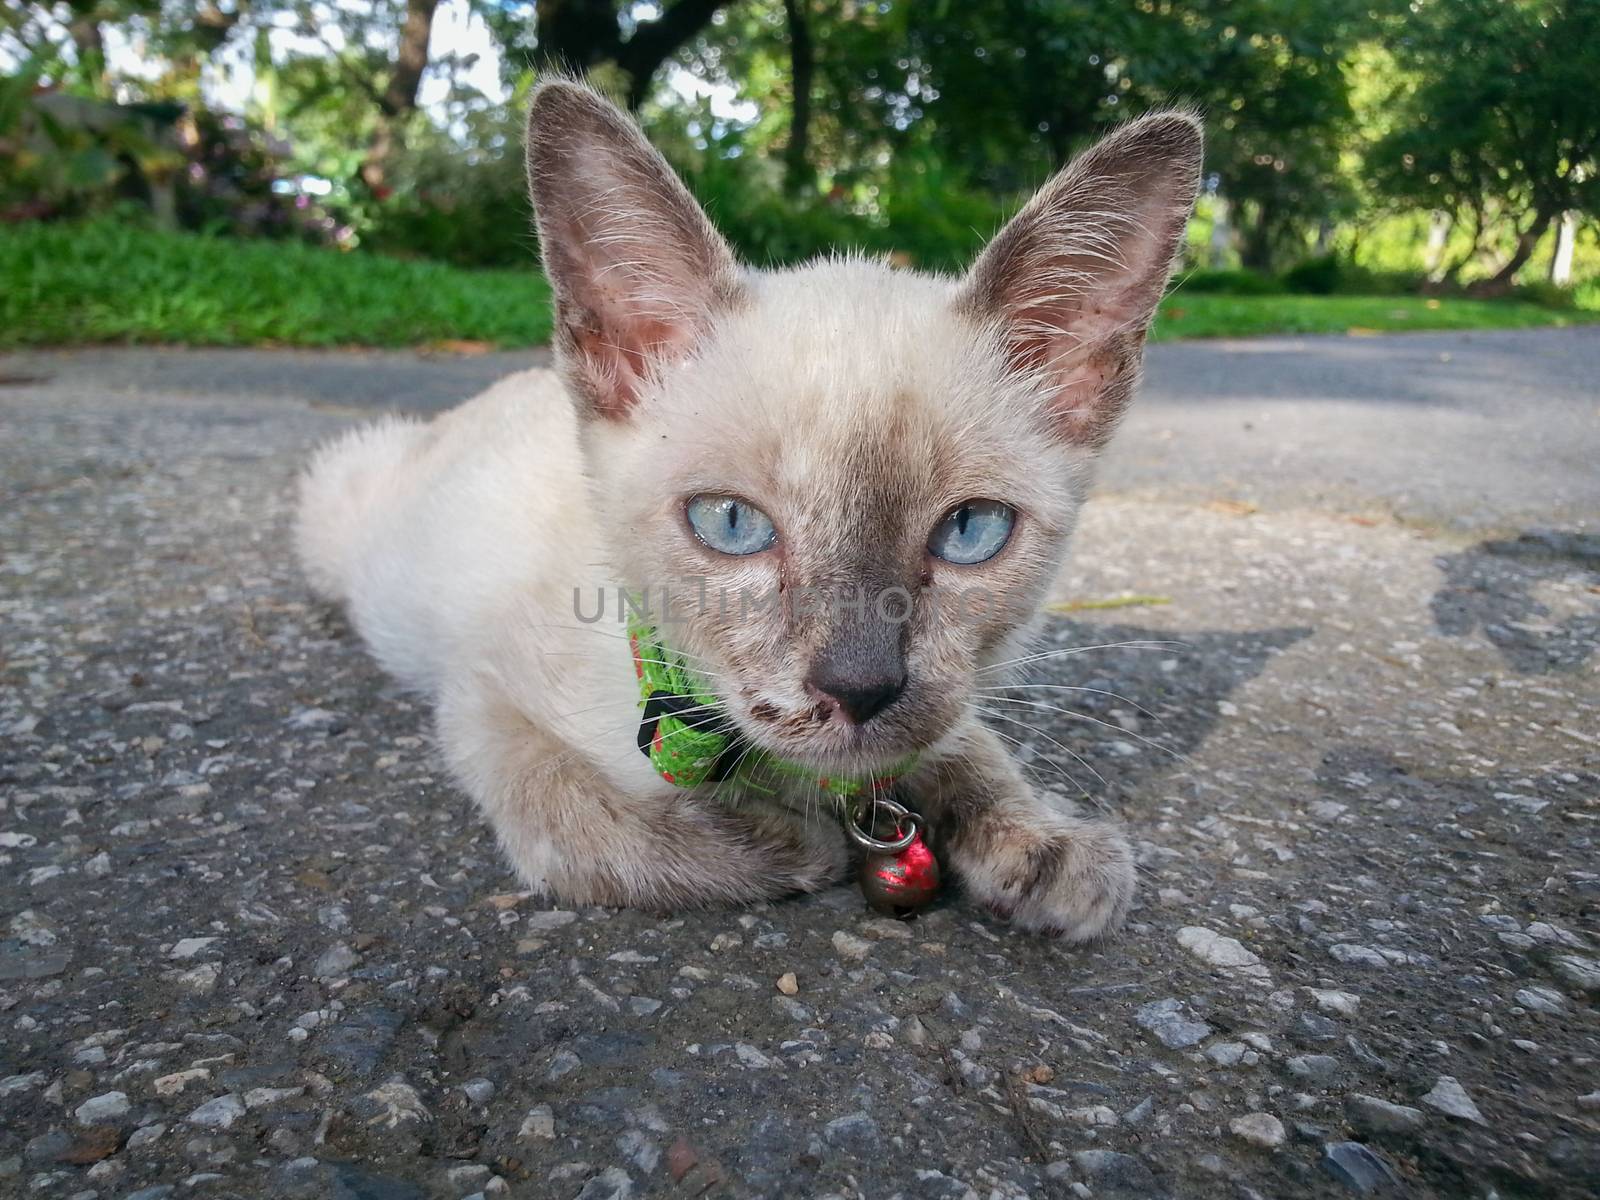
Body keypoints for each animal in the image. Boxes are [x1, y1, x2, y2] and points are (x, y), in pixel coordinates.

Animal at [297, 82, 1203, 940]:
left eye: (970, 531)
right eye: (732, 524)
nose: (861, 689)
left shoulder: (936, 718)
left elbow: (965, 744)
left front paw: (1047, 845)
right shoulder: (484, 703)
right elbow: (595, 830)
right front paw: (794, 841)